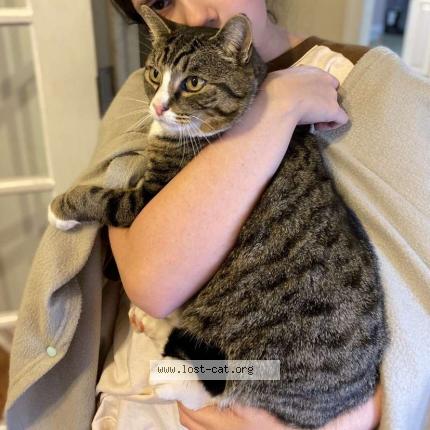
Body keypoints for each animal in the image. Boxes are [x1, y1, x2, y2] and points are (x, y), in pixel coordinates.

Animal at [49, 6, 388, 428]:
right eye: (154, 73)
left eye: (193, 82)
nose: (157, 107)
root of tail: (346, 397)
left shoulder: (147, 200)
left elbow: (101, 197)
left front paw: (61, 208)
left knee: (221, 387)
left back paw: (171, 377)